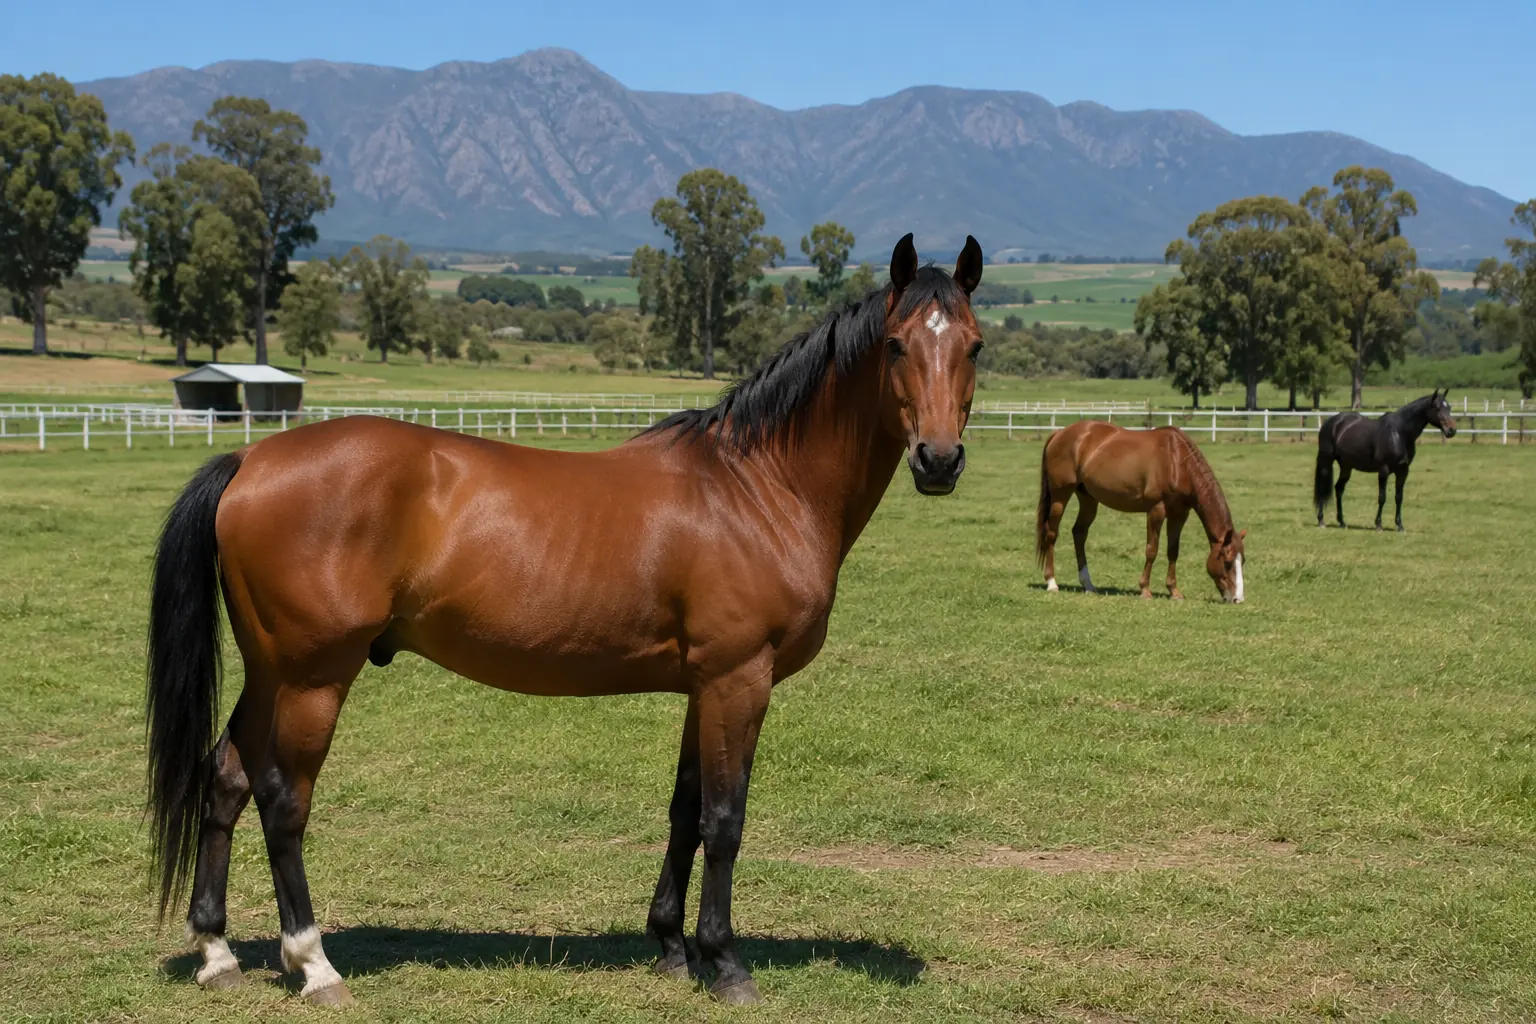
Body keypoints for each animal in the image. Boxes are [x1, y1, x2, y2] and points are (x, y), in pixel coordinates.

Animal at [144, 233, 987, 1007]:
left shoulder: (701, 686)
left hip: (270, 670)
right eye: (896, 343)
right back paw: (315, 965)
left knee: (225, 779)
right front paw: (726, 962)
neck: (756, 486)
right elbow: (725, 819)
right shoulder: (738, 680)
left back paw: (217, 952)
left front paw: (670, 947)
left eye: (975, 344)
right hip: (313, 677)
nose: (939, 460)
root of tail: (250, 461)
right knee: (284, 800)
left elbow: (684, 812)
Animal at [1035, 420, 1247, 602]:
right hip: (1060, 496)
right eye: (1227, 561)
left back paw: (1088, 585)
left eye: (1242, 561)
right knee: (1052, 533)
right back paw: (1051, 582)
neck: (1177, 461)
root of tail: (1060, 433)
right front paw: (1145, 589)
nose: (1237, 599)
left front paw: (1174, 591)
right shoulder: (1156, 510)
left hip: (1088, 499)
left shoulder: (1179, 514)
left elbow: (1173, 551)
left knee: (1079, 533)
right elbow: (1151, 549)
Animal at [1313, 389, 1458, 532]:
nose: (1452, 430)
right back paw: (1321, 520)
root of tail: (1331, 422)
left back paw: (1342, 522)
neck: (1400, 433)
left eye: (1449, 407)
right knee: (1323, 488)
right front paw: (1378, 525)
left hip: (1346, 466)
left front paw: (1400, 525)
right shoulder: (1384, 470)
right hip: (1326, 462)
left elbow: (1399, 497)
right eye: (1437, 407)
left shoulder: (1403, 471)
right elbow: (1382, 497)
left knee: (1339, 489)